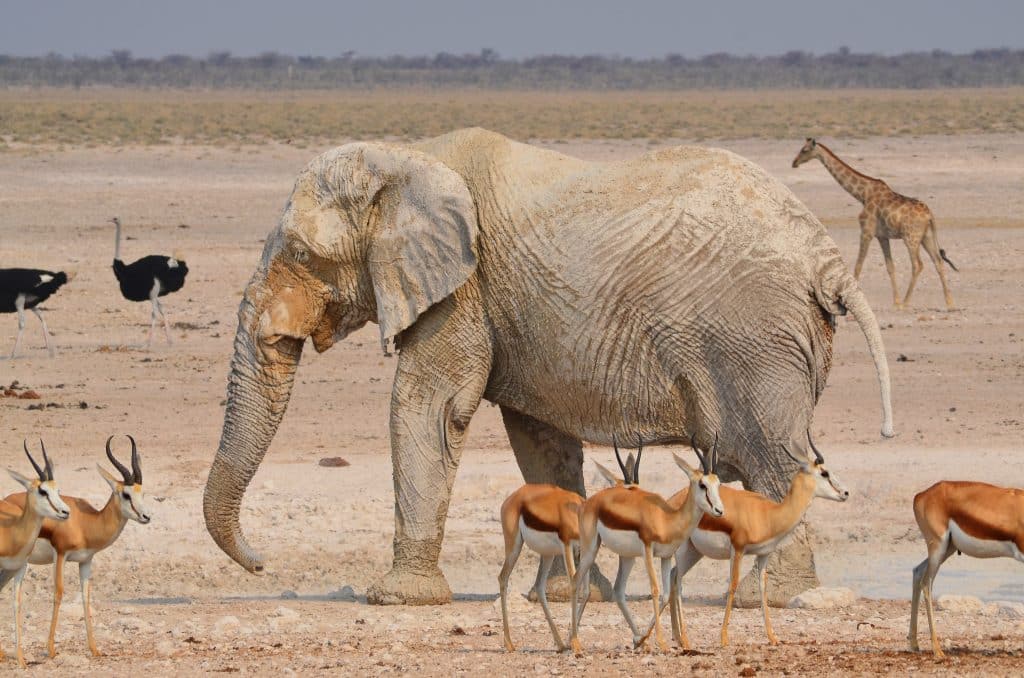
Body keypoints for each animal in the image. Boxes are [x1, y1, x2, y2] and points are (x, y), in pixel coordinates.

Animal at [792, 138, 958, 310]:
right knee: (938, 262)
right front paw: (895, 301)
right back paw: (949, 303)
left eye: (804, 150)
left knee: (918, 264)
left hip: (911, 238)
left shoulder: (866, 231)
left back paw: (906, 303)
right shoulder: (882, 236)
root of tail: (929, 215)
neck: (862, 194)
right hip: (926, 237)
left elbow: (858, 265)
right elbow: (890, 266)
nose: (794, 163)